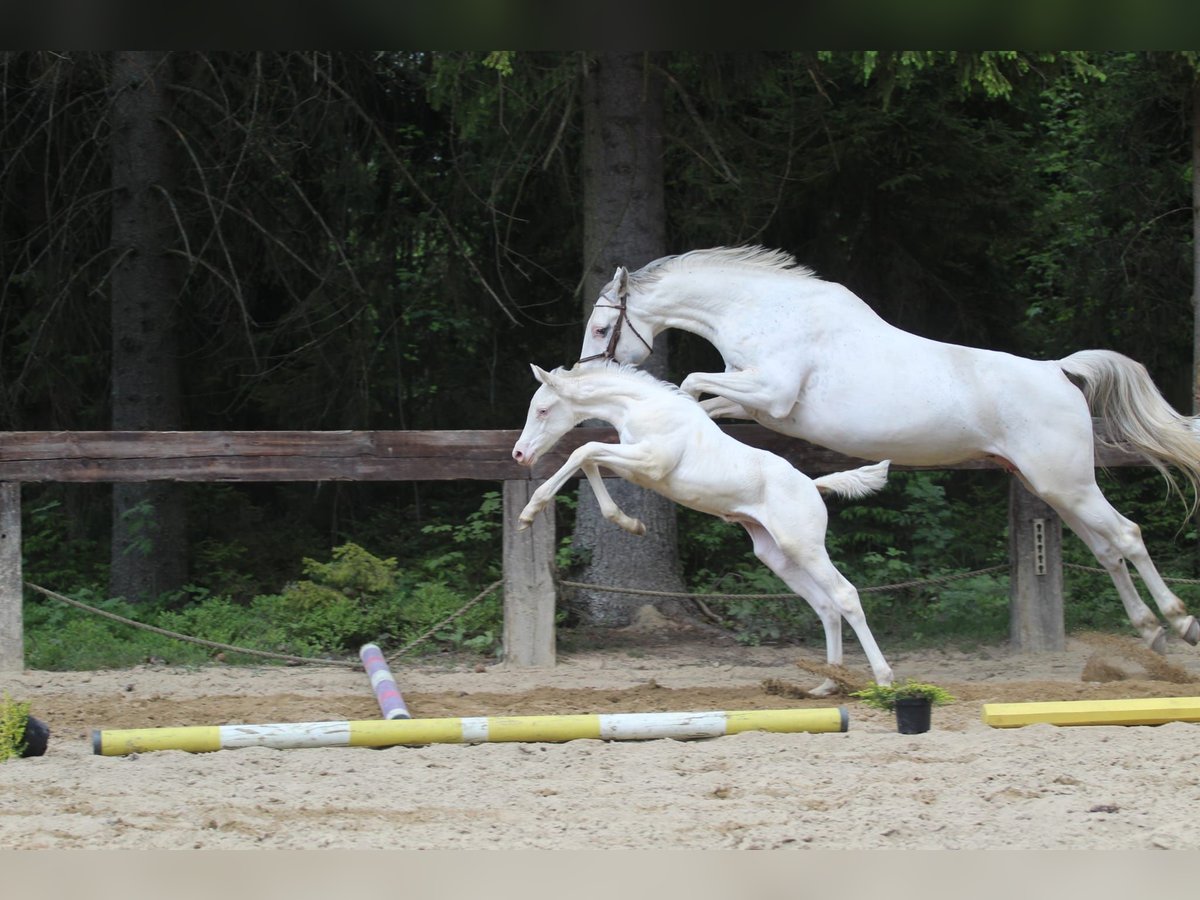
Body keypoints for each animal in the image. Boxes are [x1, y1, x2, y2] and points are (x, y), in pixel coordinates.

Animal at [511, 362, 897, 696]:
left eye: (542, 410)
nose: (519, 454)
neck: (644, 406)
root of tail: (814, 487)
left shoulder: (650, 462)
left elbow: (583, 450)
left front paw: (528, 513)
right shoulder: (634, 464)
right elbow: (588, 459)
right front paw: (631, 524)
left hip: (805, 547)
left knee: (845, 596)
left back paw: (883, 681)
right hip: (778, 556)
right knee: (826, 607)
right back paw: (828, 684)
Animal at [578, 247, 1200, 657]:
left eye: (603, 327)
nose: (586, 374)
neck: (763, 312)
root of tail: (1058, 372)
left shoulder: (771, 394)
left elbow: (689, 383)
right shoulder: (759, 406)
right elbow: (701, 398)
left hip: (1067, 483)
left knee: (1127, 537)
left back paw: (1179, 621)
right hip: (1051, 486)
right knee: (1107, 550)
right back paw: (1149, 630)